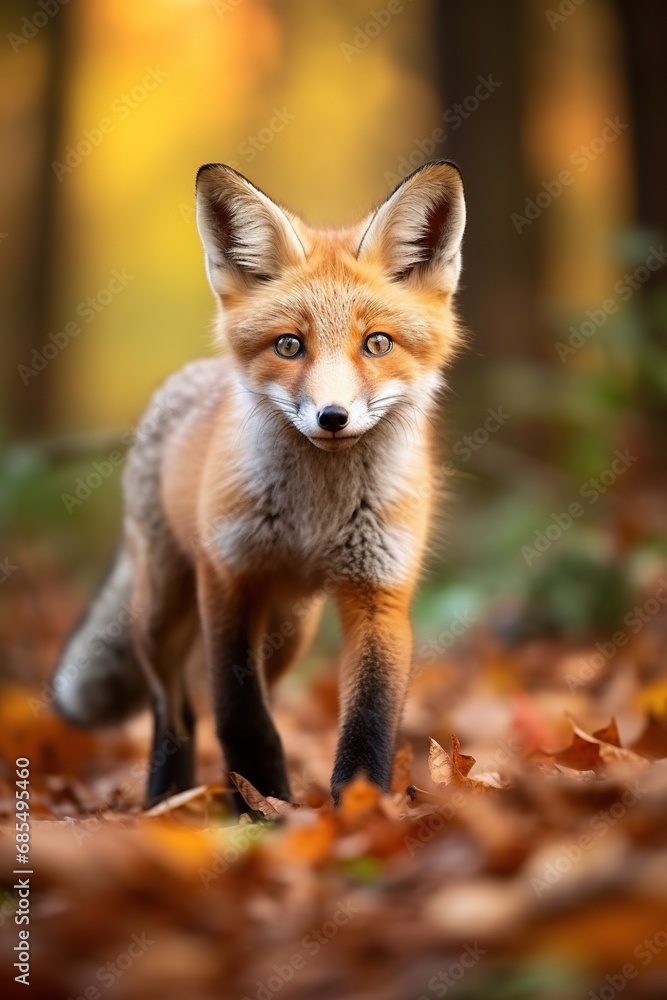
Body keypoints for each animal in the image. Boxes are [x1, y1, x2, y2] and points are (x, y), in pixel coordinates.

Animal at [52, 158, 468, 812]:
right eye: (289, 345)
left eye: (377, 343)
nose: (332, 417)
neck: (316, 514)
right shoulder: (227, 577)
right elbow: (239, 713)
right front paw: (265, 803)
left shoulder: (378, 590)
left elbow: (368, 719)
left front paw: (355, 809)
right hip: (161, 610)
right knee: (175, 705)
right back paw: (168, 796)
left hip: (289, 631)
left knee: (238, 696)